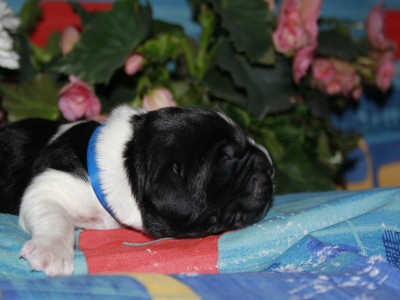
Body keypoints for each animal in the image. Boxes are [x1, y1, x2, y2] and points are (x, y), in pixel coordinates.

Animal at [0, 105, 276, 276]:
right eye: (226, 158)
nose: (271, 167)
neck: (128, 161)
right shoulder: (50, 186)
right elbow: (55, 217)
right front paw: (51, 251)